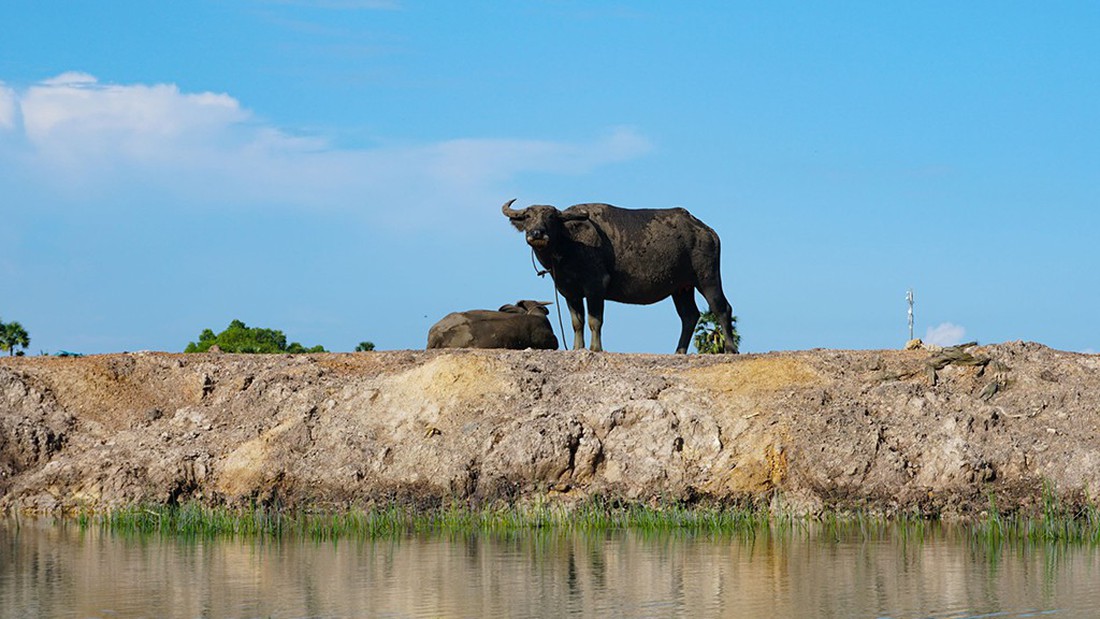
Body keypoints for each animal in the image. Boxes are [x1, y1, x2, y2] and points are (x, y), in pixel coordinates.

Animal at [503, 199, 734, 354]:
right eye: (528, 217)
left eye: (550, 217)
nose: (537, 234)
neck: (570, 243)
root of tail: (706, 231)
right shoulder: (570, 291)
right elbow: (577, 322)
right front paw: (577, 348)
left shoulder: (596, 287)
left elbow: (594, 320)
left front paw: (596, 348)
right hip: (681, 288)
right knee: (689, 315)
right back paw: (678, 351)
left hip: (707, 278)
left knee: (721, 308)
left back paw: (731, 349)